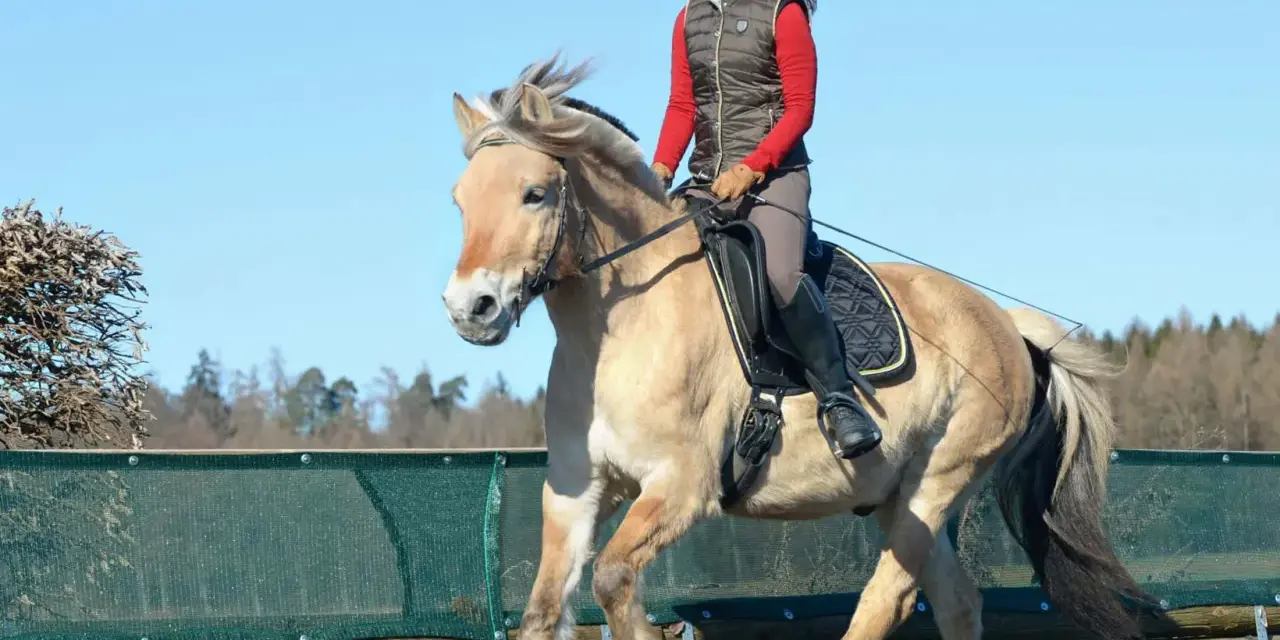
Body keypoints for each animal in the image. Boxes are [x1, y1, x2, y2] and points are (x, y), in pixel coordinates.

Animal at [440, 54, 1155, 640]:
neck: (619, 329)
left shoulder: (681, 487)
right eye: (460, 202)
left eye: (535, 194)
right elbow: (543, 612)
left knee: (886, 603)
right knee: (957, 603)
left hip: (938, 482)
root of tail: (1006, 322)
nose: (470, 309)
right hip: (904, 498)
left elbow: (613, 578)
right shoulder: (574, 491)